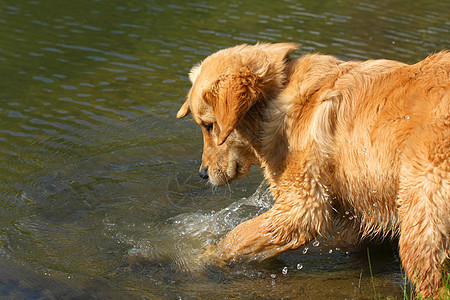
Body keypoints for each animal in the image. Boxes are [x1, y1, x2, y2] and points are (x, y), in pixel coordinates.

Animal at [178, 42, 448, 298]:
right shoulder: (361, 211)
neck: (277, 96)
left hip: (422, 219)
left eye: (209, 126)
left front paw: (200, 258)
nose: (202, 173)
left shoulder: (304, 205)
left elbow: (235, 238)